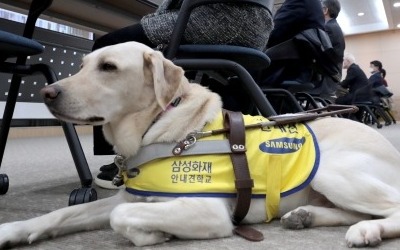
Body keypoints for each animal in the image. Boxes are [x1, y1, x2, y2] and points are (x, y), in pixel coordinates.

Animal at [0, 41, 400, 248]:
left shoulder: (206, 210)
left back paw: (368, 231)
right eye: (83, 65)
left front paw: (153, 233)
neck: (157, 128)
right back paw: (306, 216)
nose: (47, 93)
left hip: (332, 171)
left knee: (388, 210)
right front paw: (12, 230)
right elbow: (60, 214)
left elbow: (119, 218)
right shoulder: (128, 197)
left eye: (109, 67)